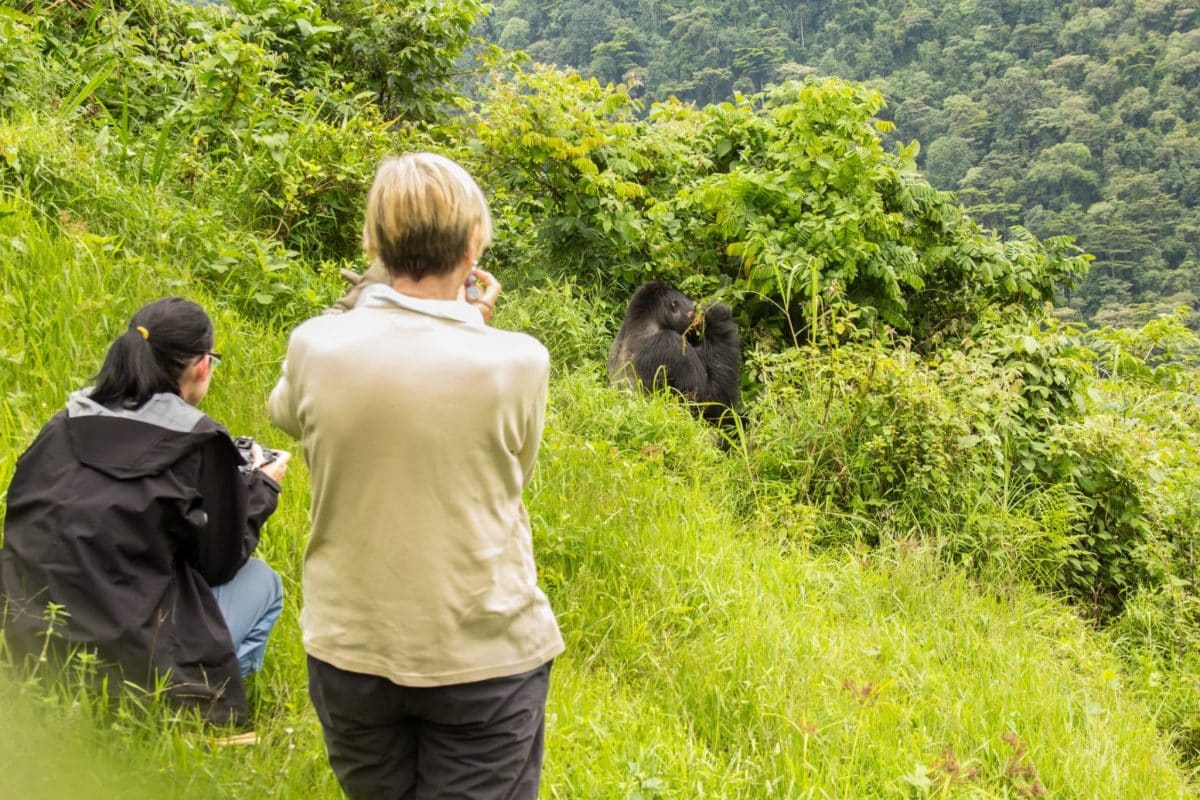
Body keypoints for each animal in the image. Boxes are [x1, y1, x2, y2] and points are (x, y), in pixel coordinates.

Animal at [608, 281, 742, 428]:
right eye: (692, 310)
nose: (695, 318)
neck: (642, 323)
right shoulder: (670, 343)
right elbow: (708, 402)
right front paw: (718, 315)